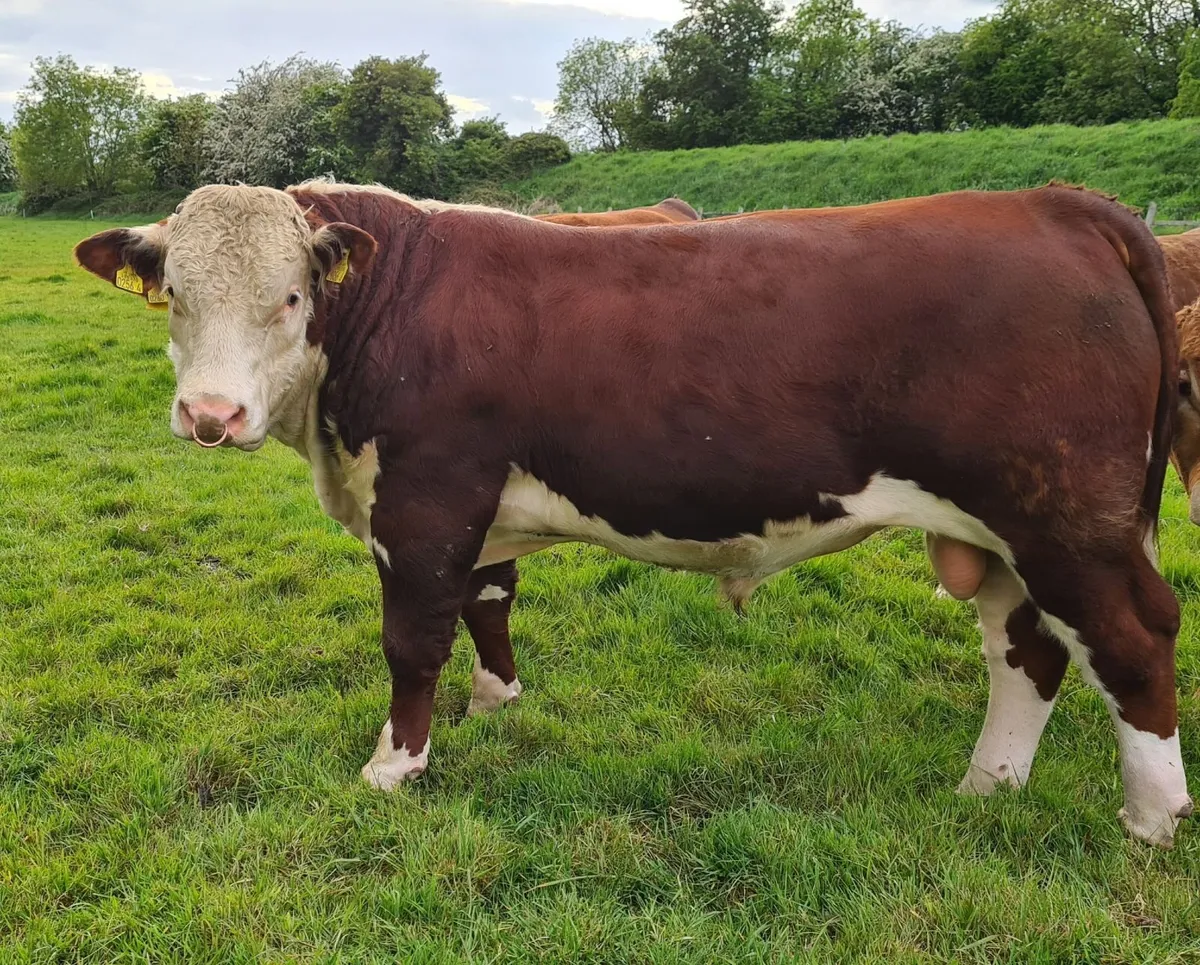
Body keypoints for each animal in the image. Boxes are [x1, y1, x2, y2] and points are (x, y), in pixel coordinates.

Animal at [75, 180, 1190, 847]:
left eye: (292, 296)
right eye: (176, 295)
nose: (210, 416)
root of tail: (1056, 202)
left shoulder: (427, 499)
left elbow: (412, 641)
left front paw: (395, 764)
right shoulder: (478, 506)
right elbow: (489, 600)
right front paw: (497, 703)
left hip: (1067, 521)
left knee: (1132, 639)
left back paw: (1151, 815)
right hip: (998, 531)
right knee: (1027, 649)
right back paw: (987, 786)